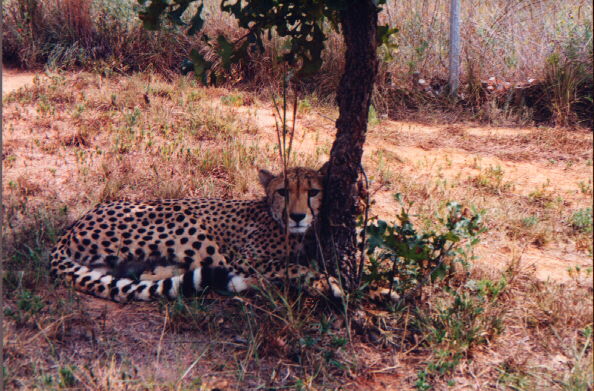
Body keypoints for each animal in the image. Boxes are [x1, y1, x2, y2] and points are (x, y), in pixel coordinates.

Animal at [50, 167, 342, 302]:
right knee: (221, 270)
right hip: (183, 218)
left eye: (313, 192)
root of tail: (73, 225)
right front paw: (327, 282)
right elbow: (290, 266)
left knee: (141, 275)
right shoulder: (243, 259)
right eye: (283, 192)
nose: (298, 216)